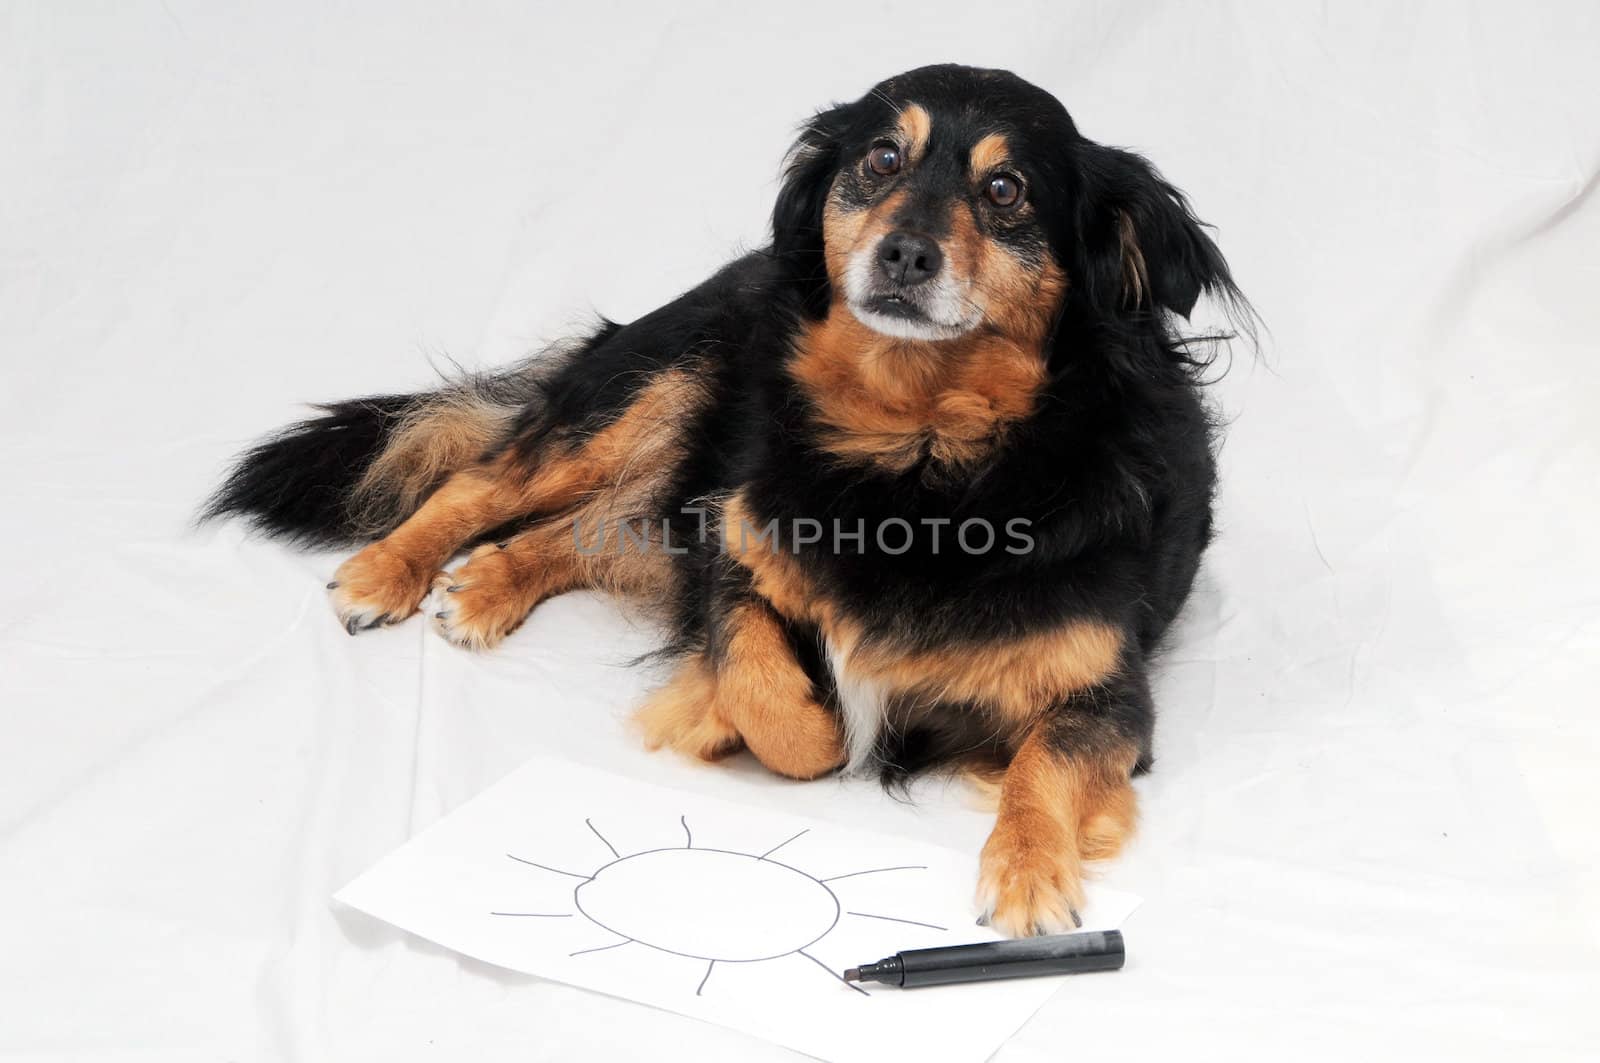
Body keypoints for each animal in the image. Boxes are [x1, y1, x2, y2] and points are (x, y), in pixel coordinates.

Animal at [203, 66, 1248, 934]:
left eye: (1006, 191)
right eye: (880, 159)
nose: (904, 253)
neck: (918, 451)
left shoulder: (1108, 695)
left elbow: (1043, 764)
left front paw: (1030, 874)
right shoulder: (738, 546)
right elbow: (765, 682)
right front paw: (738, 716)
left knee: (588, 530)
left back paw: (488, 585)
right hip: (658, 387)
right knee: (490, 481)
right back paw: (390, 572)